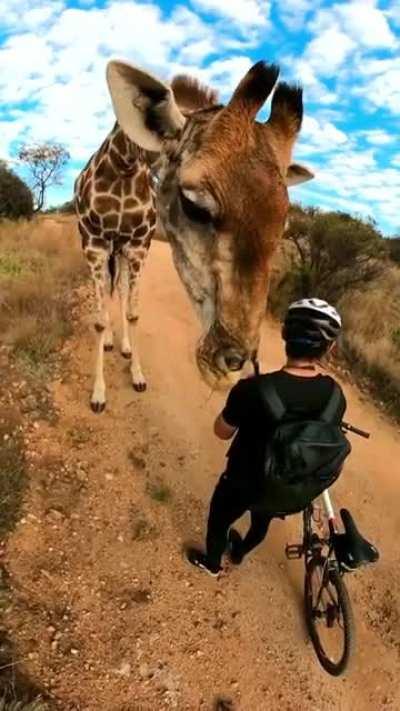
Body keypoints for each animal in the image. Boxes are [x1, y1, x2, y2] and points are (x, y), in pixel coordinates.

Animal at [76, 59, 313, 412]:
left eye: (282, 224)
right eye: (194, 206)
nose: (231, 366)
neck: (124, 164)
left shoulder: (139, 245)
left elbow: (133, 311)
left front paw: (137, 375)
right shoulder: (94, 243)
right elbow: (100, 318)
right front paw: (98, 394)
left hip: (123, 249)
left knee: (120, 289)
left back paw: (125, 347)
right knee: (108, 290)